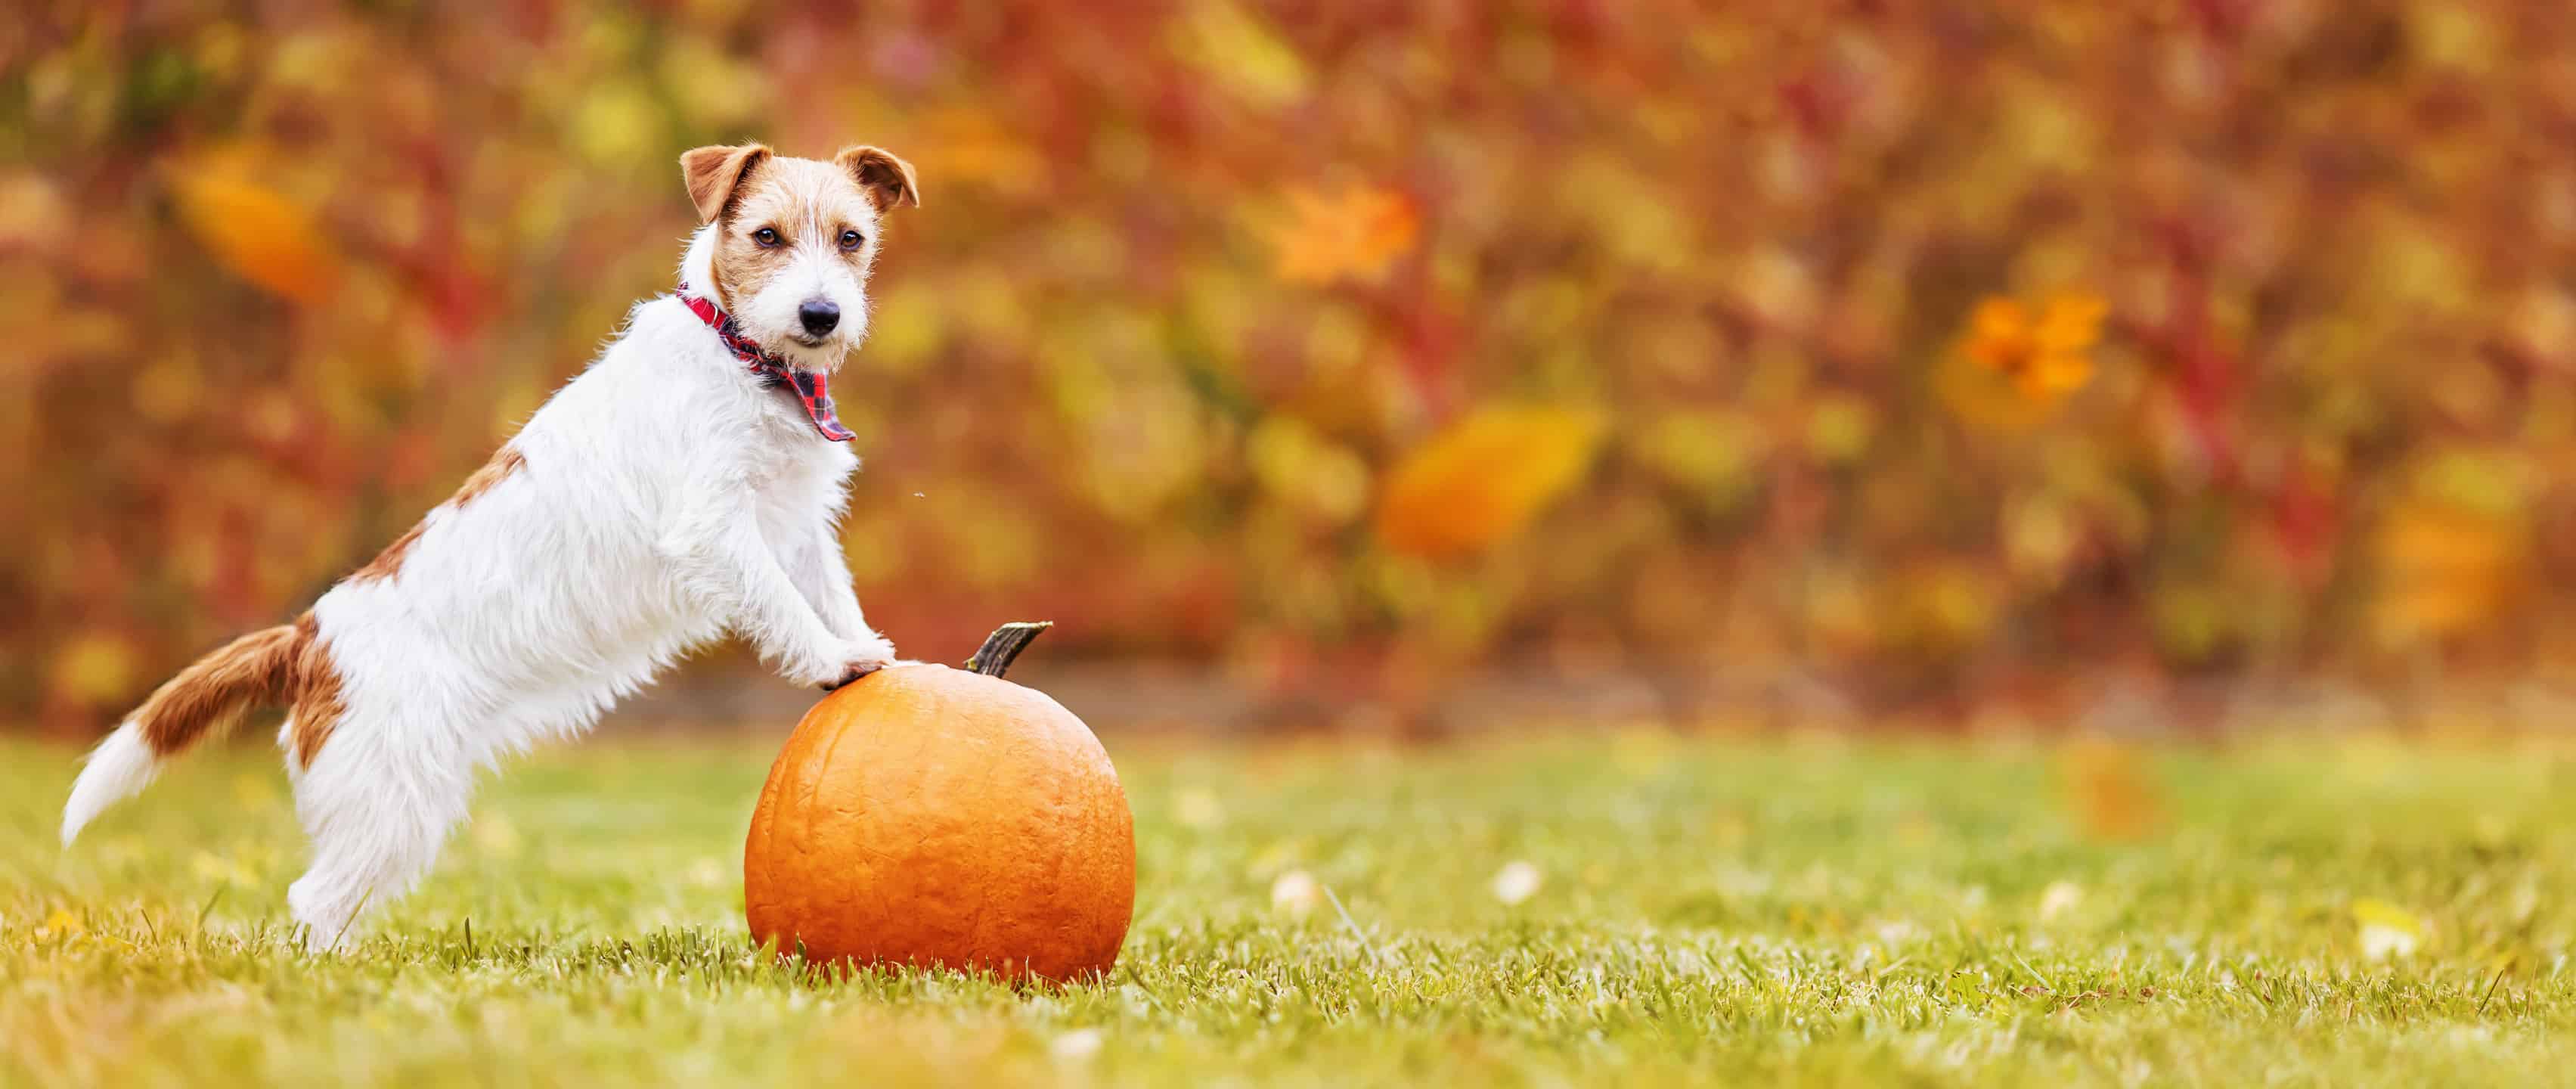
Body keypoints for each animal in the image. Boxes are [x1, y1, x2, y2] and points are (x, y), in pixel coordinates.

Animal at [57, 142, 927, 947]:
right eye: (766, 235)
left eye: (851, 237)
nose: (820, 315)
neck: (743, 358)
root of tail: (309, 637)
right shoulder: (714, 526)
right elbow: (781, 604)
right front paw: (834, 661)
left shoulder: (796, 525)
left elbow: (828, 593)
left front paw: (868, 649)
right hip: (391, 801)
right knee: (316, 902)